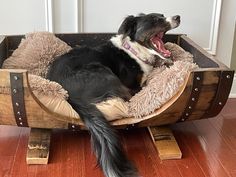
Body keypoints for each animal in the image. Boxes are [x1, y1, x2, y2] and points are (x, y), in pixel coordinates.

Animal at [47, 12, 181, 177]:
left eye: (162, 15)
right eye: (155, 20)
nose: (178, 17)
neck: (134, 51)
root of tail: (66, 94)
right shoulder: (132, 86)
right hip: (105, 74)